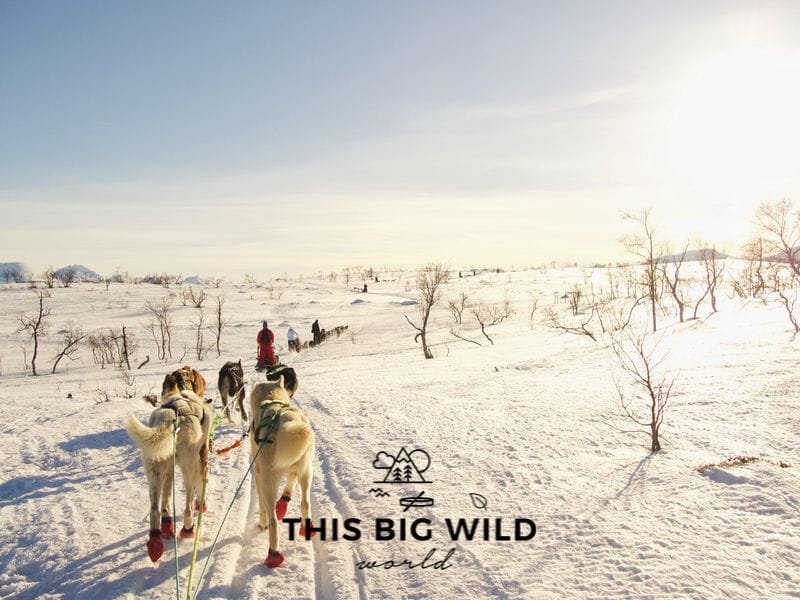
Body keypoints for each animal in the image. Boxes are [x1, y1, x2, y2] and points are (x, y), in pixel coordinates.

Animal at [126, 370, 211, 564]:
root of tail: (172, 417)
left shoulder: (168, 470)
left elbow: (165, 502)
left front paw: (167, 525)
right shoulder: (203, 457)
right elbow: (201, 488)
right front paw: (201, 505)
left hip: (155, 469)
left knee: (155, 510)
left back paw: (156, 541)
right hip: (190, 468)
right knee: (187, 507)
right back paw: (188, 529)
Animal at [250, 378, 316, 568]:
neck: (272, 399)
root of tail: (287, 418)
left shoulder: (258, 473)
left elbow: (262, 506)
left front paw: (263, 522)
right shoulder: (294, 470)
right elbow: (289, 485)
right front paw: (284, 502)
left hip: (268, 480)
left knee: (273, 521)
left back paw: (273, 554)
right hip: (307, 472)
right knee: (305, 503)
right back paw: (305, 529)